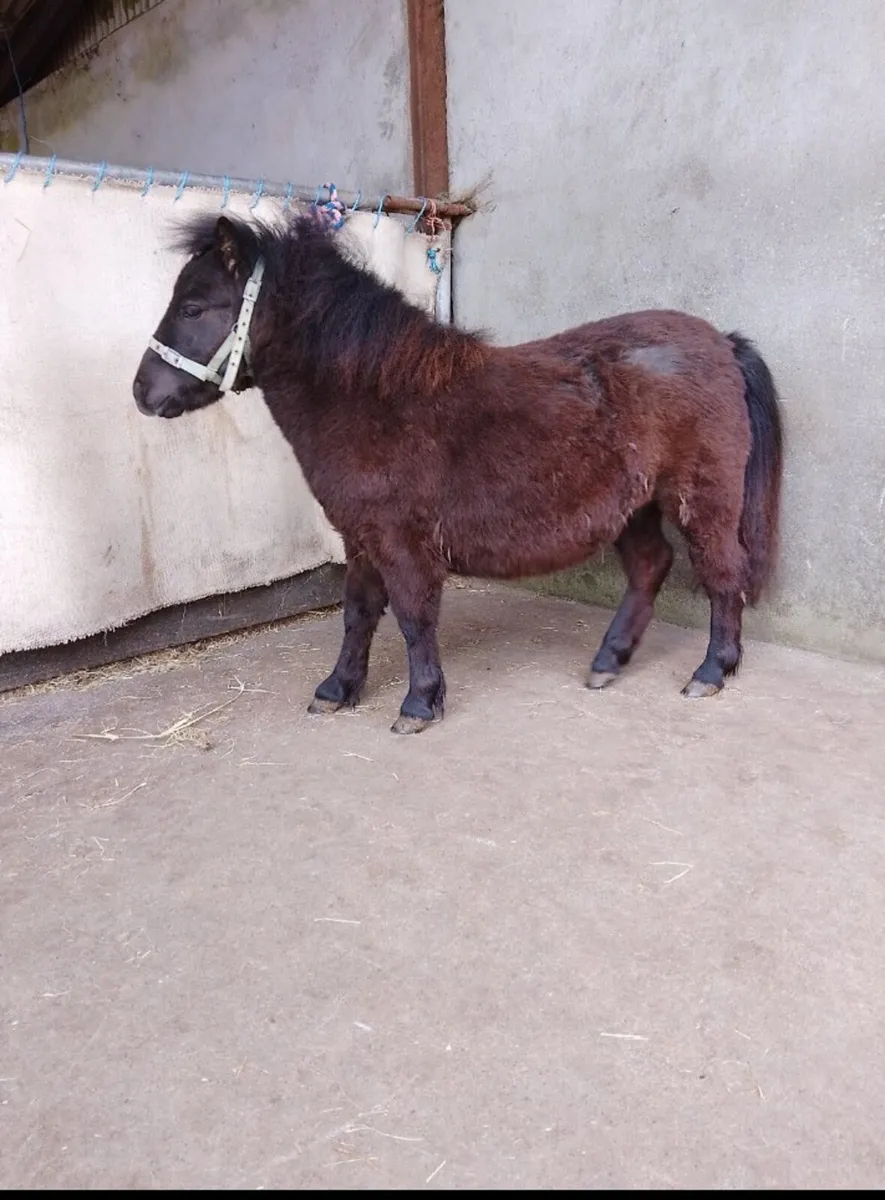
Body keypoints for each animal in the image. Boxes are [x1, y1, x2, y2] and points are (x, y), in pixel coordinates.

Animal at [132, 209, 783, 735]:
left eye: (193, 306)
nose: (142, 392)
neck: (374, 397)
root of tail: (722, 343)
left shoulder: (399, 540)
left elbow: (414, 616)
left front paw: (419, 704)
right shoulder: (360, 537)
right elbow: (358, 613)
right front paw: (338, 690)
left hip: (701, 499)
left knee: (723, 574)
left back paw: (711, 671)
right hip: (636, 506)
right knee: (651, 568)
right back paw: (608, 662)